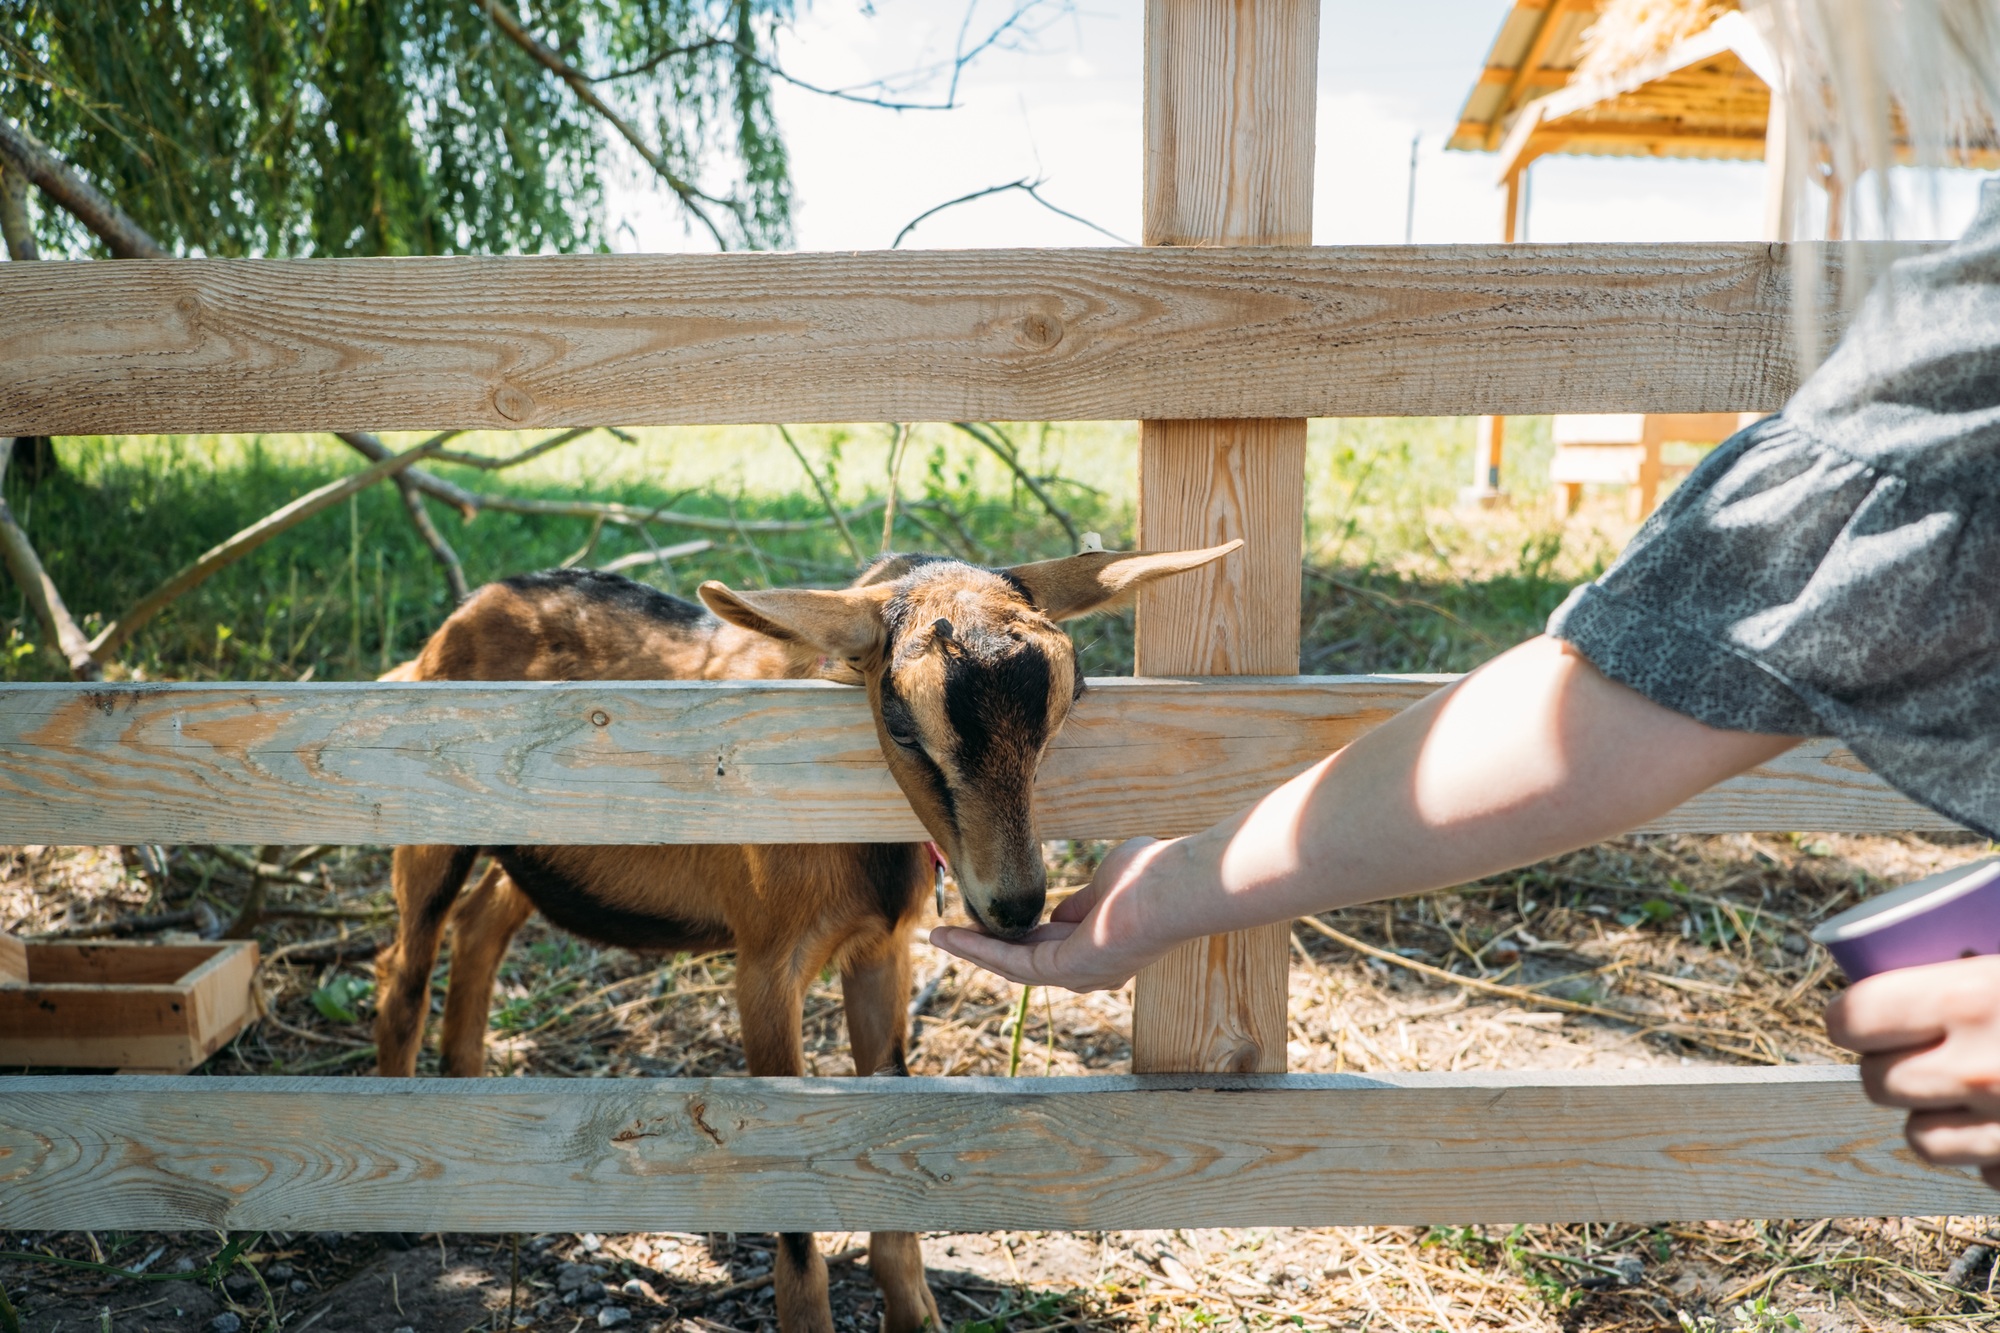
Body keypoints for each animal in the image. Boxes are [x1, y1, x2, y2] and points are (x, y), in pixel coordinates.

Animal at [376, 540, 1232, 1328]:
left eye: (1067, 698)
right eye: (902, 722)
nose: (1016, 904)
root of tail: (464, 613)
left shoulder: (880, 951)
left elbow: (888, 1114)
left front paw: (917, 1313)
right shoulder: (764, 967)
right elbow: (785, 1181)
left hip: (534, 845)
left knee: (481, 922)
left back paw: (464, 1101)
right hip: (430, 829)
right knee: (403, 965)